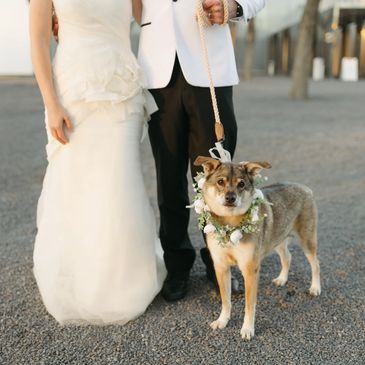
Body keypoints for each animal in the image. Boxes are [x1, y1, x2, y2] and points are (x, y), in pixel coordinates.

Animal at [193, 156, 318, 338]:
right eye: (220, 181)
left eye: (241, 184)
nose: (230, 198)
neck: (229, 225)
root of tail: (304, 187)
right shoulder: (221, 267)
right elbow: (226, 300)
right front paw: (222, 321)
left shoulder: (250, 270)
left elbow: (249, 305)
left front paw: (247, 329)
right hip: (277, 239)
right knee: (287, 257)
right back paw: (282, 279)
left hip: (307, 241)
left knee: (315, 264)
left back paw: (315, 287)